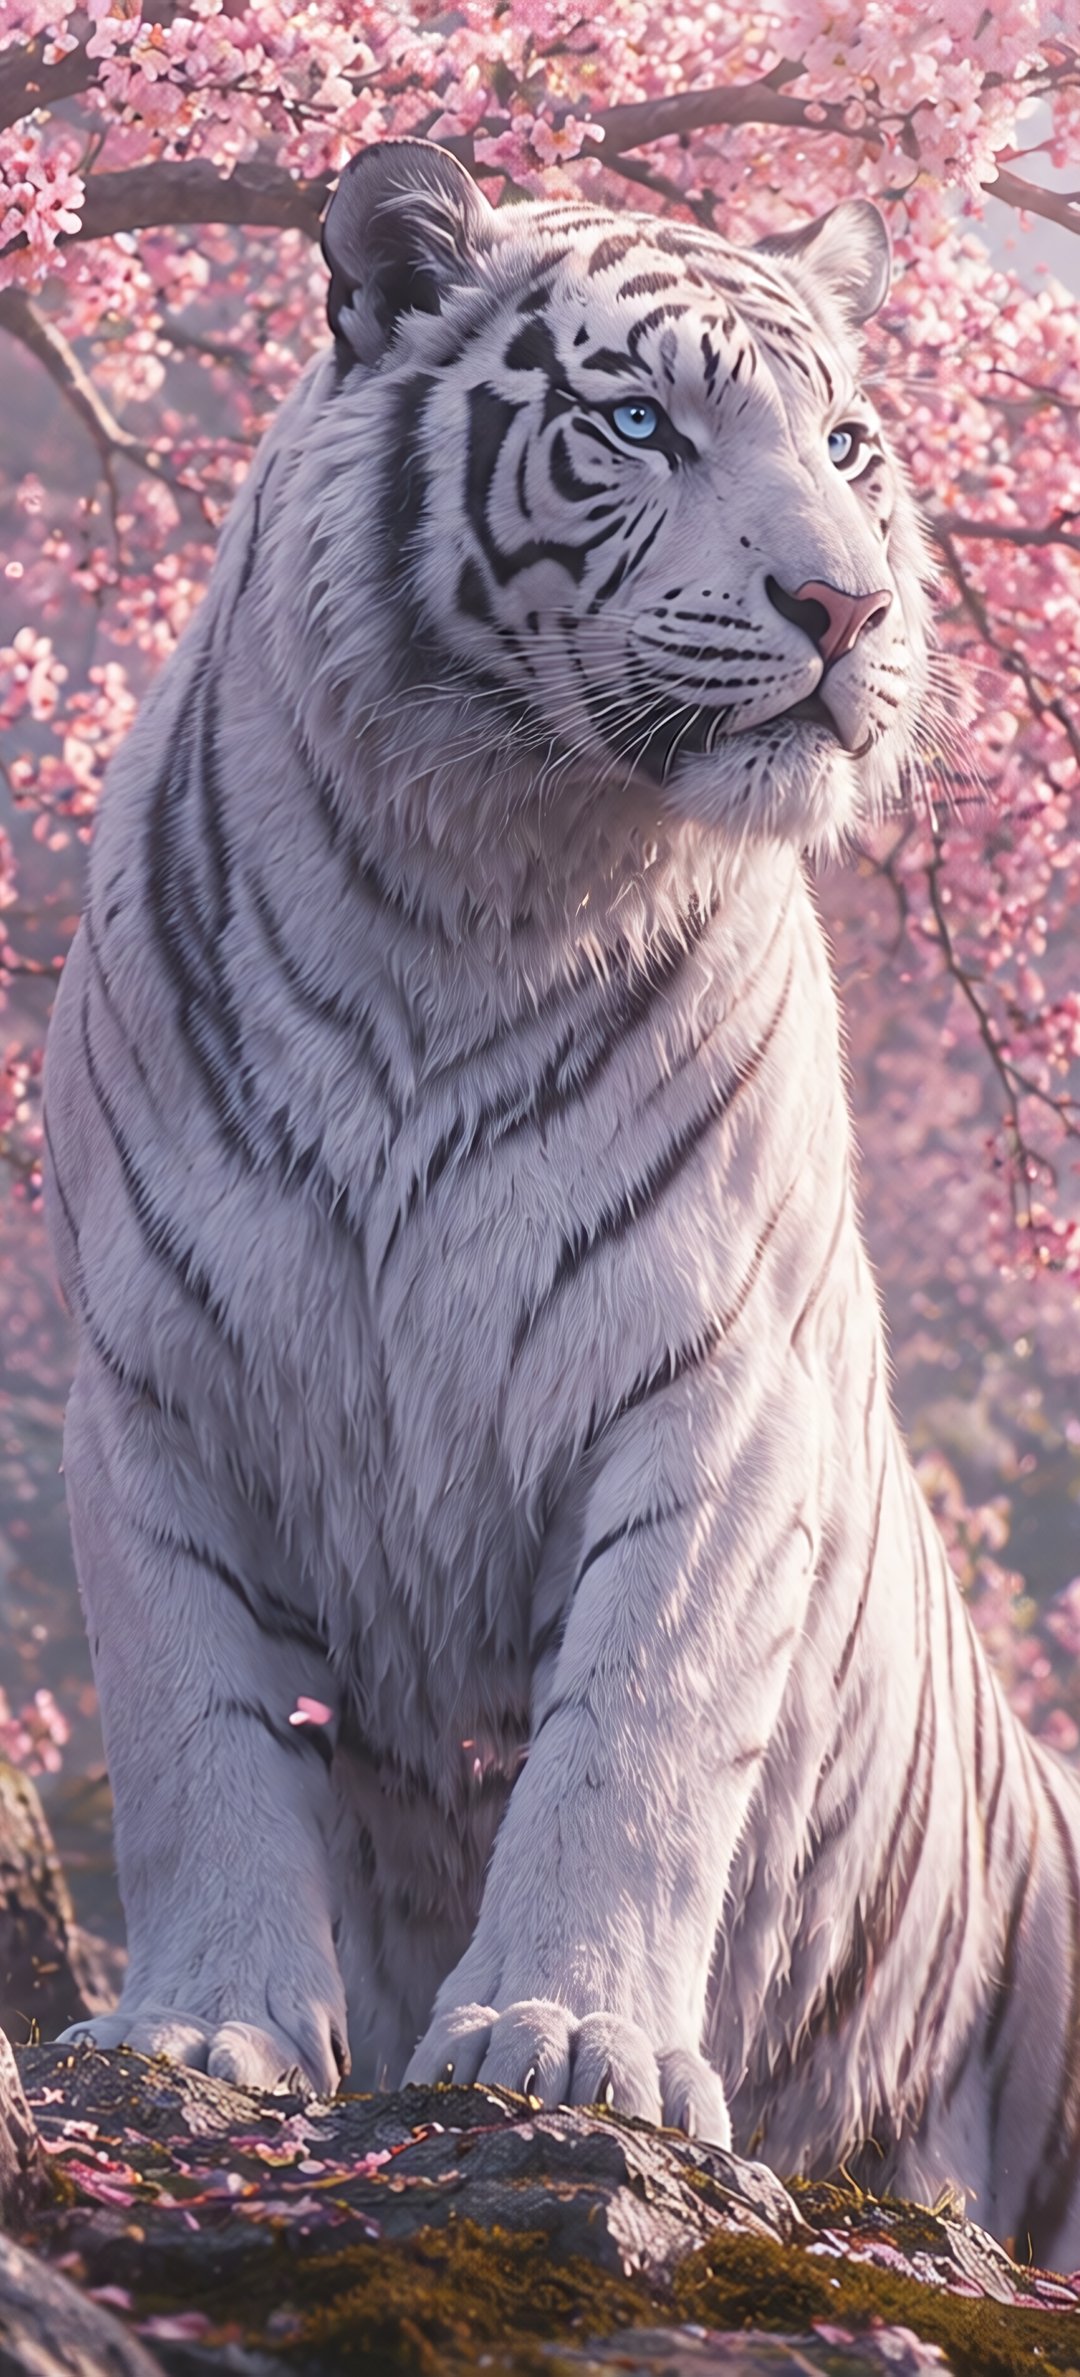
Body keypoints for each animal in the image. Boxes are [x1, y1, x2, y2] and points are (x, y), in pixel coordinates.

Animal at [41, 136, 1080, 2268]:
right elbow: (196, 1726)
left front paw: (568, 2044)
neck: (469, 874)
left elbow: (636, 1738)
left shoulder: (715, 1393)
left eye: (847, 441)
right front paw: (202, 2031)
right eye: (637, 424)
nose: (847, 605)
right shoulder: (152, 1386)